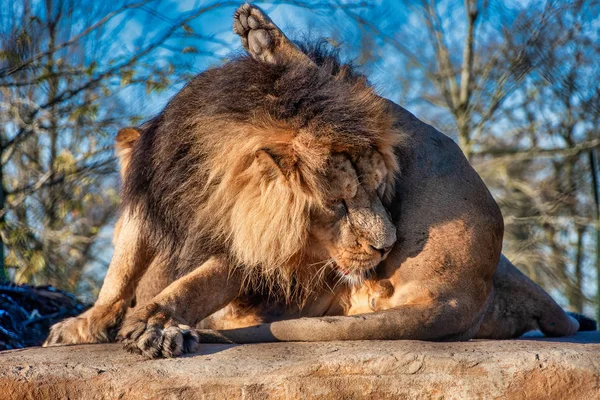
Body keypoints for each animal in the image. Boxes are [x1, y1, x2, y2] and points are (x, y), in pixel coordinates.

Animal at [43, 3, 596, 360]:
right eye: (338, 204)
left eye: (381, 192)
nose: (386, 246)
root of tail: (461, 294)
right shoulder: (152, 200)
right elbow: (121, 268)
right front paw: (85, 323)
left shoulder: (257, 244)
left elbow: (199, 279)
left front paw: (156, 323)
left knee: (351, 88)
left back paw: (264, 38)